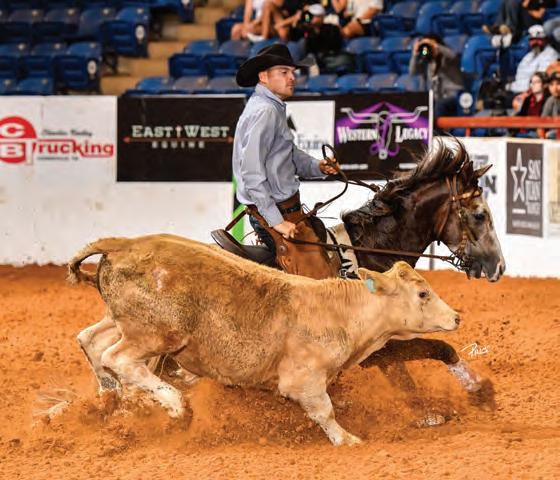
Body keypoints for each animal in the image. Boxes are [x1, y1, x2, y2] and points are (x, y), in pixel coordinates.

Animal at [69, 234, 460, 446]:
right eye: (423, 293)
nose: (457, 316)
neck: (340, 310)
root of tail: (126, 243)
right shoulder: (303, 379)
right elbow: (324, 409)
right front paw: (347, 439)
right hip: (156, 331)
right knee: (118, 358)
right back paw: (174, 404)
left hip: (121, 320)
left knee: (91, 340)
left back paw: (112, 397)